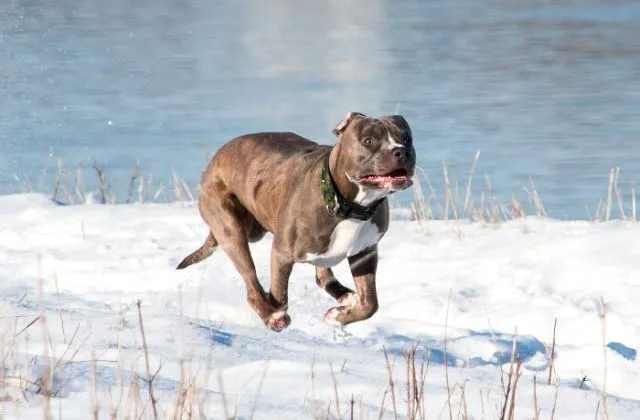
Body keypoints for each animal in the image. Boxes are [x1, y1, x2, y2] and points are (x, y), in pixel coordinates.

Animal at [176, 112, 416, 332]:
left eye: (406, 138)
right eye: (368, 141)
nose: (401, 151)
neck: (348, 205)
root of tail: (216, 158)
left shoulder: (365, 252)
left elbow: (370, 304)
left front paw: (338, 316)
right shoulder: (282, 253)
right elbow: (279, 294)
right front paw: (277, 311)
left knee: (322, 275)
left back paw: (344, 297)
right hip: (230, 227)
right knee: (251, 281)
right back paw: (271, 316)